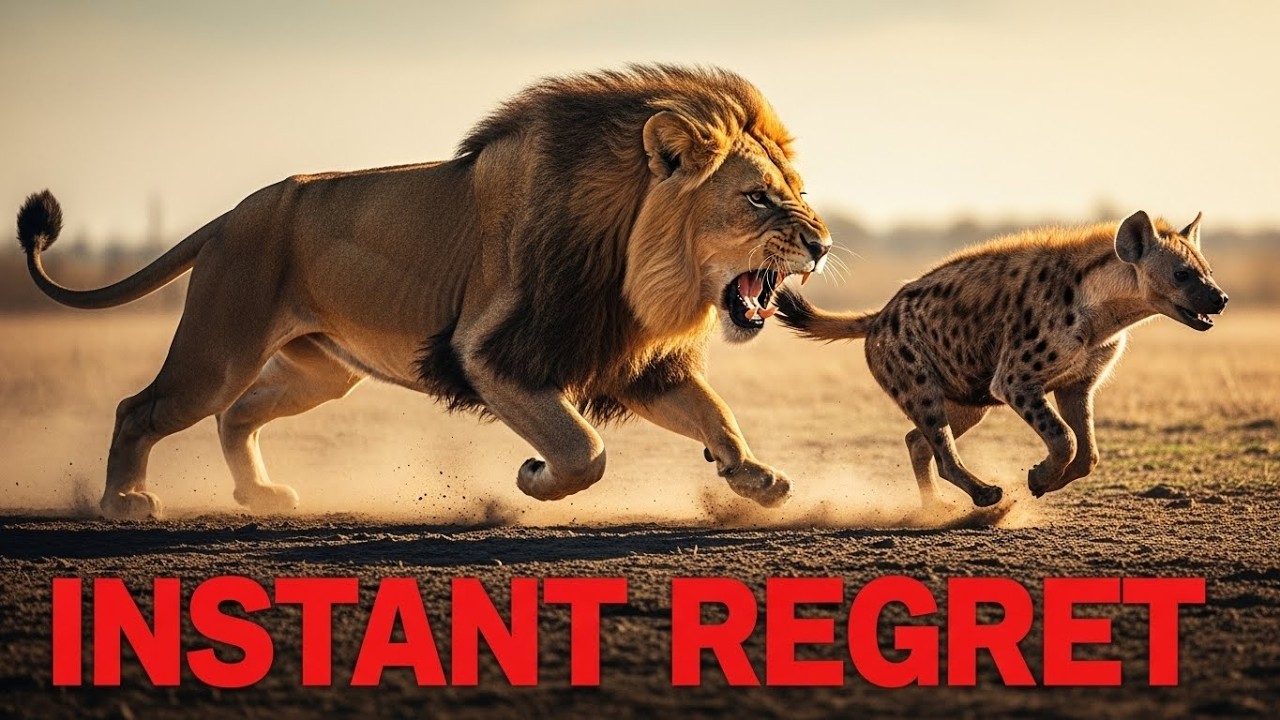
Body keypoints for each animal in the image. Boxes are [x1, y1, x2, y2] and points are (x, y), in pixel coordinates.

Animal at [15, 65, 832, 520]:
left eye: (795, 192)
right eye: (758, 199)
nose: (823, 245)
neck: (636, 264)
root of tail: (230, 214)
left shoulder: (631, 360)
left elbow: (716, 413)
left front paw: (753, 479)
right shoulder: (490, 353)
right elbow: (586, 449)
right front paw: (534, 480)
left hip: (319, 373)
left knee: (236, 415)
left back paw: (261, 496)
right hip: (219, 352)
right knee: (141, 408)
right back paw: (122, 503)